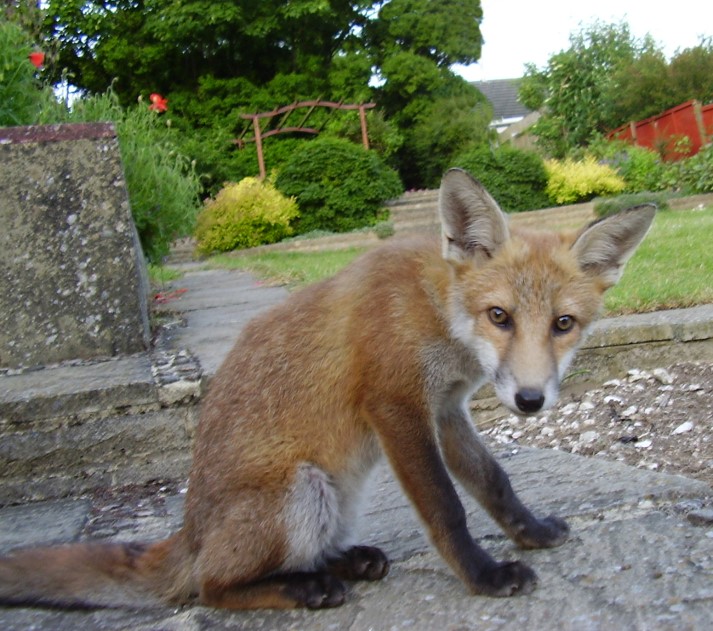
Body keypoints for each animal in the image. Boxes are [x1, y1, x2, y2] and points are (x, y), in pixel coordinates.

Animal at [0, 169, 652, 612]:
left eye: (563, 324)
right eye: (500, 316)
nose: (531, 401)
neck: (434, 312)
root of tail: (188, 533)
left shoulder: (444, 409)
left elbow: (494, 482)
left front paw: (531, 533)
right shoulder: (395, 406)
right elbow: (446, 507)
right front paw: (483, 577)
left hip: (337, 496)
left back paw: (349, 560)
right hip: (302, 490)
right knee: (211, 587)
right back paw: (306, 587)